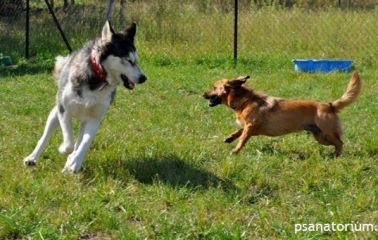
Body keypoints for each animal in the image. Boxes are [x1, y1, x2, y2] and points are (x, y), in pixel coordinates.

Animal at [22, 21, 145, 172]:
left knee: (79, 141)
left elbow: (84, 144)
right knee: (45, 138)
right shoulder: (63, 110)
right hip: (55, 114)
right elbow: (69, 143)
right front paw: (63, 149)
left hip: (83, 119)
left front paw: (74, 162)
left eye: (136, 61)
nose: (143, 78)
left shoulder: (95, 118)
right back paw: (32, 158)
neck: (97, 78)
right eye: (128, 60)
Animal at [202, 72, 362, 156]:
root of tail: (329, 105)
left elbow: (242, 139)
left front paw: (235, 151)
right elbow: (239, 131)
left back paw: (336, 156)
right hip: (321, 137)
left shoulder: (251, 126)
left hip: (327, 133)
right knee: (337, 143)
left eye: (214, 87)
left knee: (340, 143)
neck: (244, 100)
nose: (203, 94)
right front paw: (230, 138)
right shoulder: (251, 127)